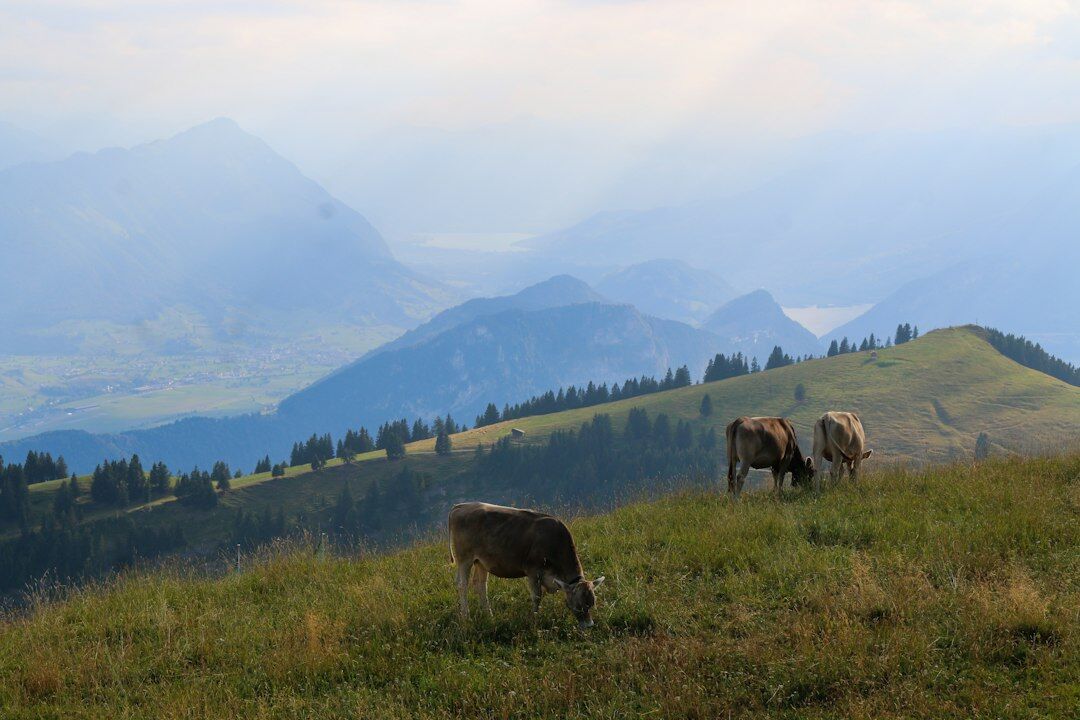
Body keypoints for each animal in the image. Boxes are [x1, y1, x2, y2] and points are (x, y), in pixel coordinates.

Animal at [448, 502, 605, 629]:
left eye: (592, 602)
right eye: (579, 604)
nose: (589, 625)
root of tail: (461, 506)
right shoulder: (533, 571)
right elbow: (537, 596)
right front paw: (534, 619)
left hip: (481, 562)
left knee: (480, 585)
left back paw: (489, 615)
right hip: (465, 558)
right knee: (462, 584)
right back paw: (466, 617)